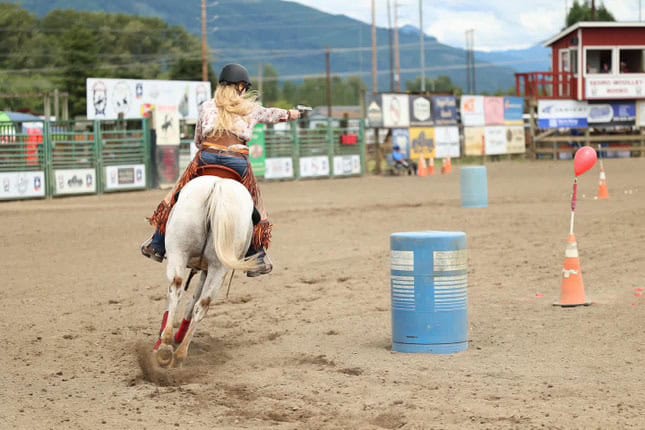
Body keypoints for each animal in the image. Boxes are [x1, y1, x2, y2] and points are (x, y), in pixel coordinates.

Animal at [152, 175, 260, 366]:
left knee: (176, 290)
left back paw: (166, 342)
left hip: (179, 252)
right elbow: (194, 300)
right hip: (217, 267)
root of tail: (217, 188)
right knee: (202, 303)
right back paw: (178, 352)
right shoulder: (206, 269)